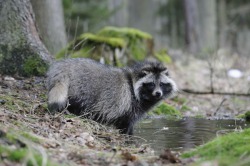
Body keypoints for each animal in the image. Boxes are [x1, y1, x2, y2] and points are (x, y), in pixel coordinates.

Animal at [47, 58, 178, 135]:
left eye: (161, 84)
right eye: (151, 84)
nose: (158, 93)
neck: (133, 81)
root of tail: (64, 67)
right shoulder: (129, 105)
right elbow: (126, 124)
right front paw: (128, 136)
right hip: (82, 88)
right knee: (78, 103)